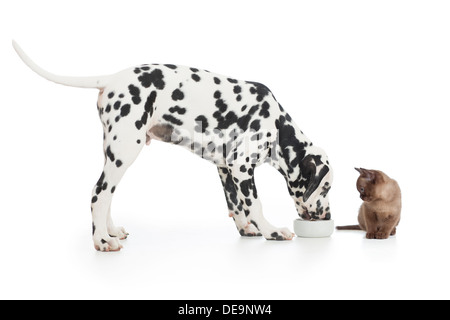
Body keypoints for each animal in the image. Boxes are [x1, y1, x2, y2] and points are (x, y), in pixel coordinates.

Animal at [12, 41, 332, 252]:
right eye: (326, 188)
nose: (328, 217)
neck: (277, 126)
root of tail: (111, 79)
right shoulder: (241, 166)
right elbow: (254, 203)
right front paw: (271, 231)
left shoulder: (225, 168)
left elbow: (236, 205)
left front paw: (247, 229)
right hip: (126, 152)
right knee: (98, 194)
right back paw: (102, 240)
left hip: (114, 154)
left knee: (107, 195)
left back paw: (110, 230)